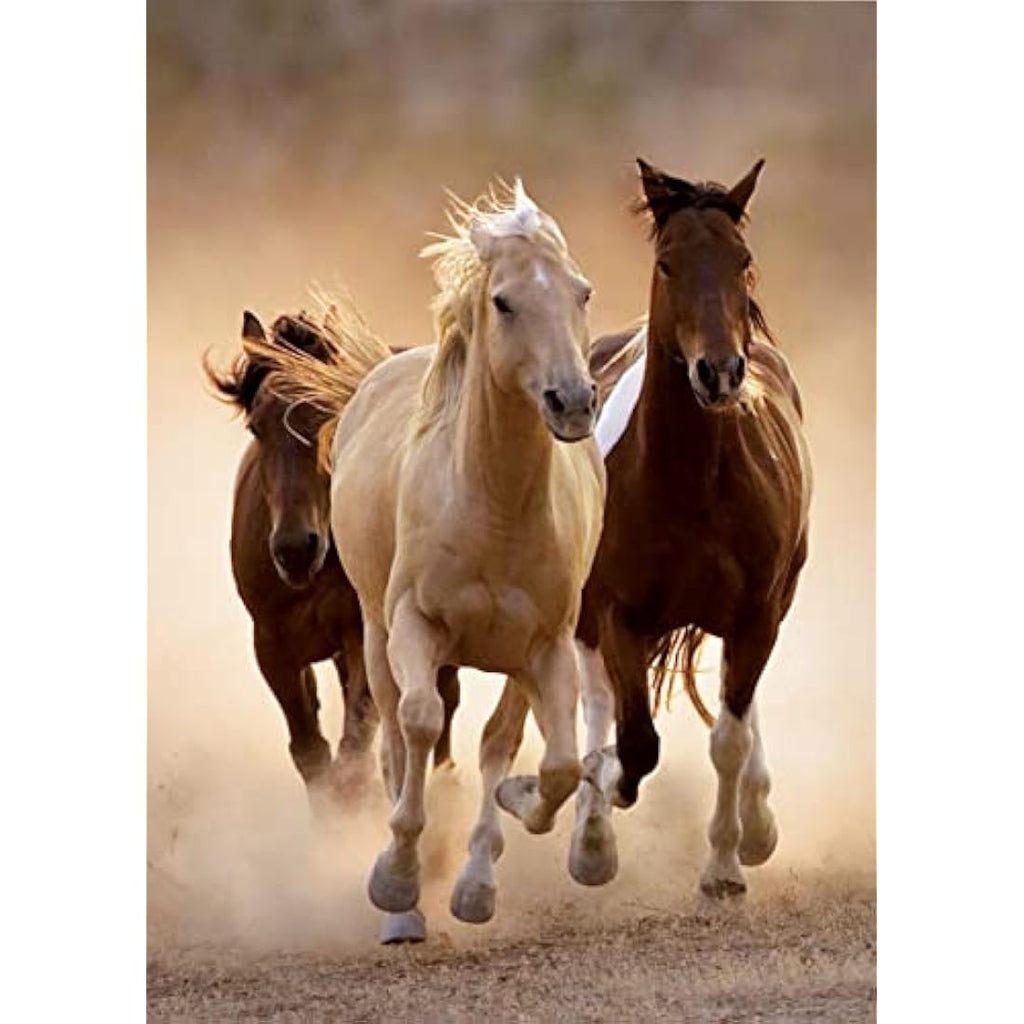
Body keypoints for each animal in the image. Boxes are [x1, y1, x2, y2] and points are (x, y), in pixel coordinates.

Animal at [204, 310, 461, 825]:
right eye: (257, 427)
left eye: (328, 415)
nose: (295, 549)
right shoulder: (272, 646)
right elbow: (311, 752)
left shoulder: (360, 635)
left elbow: (354, 750)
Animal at [245, 180, 605, 939]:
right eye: (504, 301)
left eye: (581, 292)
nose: (572, 401)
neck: (494, 507)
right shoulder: (413, 626)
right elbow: (415, 725)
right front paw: (397, 878)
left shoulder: (546, 647)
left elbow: (550, 763)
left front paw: (500, 837)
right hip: (374, 636)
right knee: (390, 737)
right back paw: (406, 902)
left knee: (496, 739)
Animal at [493, 158, 812, 899]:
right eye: (668, 264)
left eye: (742, 259)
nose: (719, 372)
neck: (693, 485)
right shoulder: (617, 613)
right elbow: (634, 742)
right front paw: (584, 804)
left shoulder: (757, 613)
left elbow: (727, 735)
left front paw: (726, 863)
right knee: (599, 702)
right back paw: (589, 836)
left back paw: (754, 824)